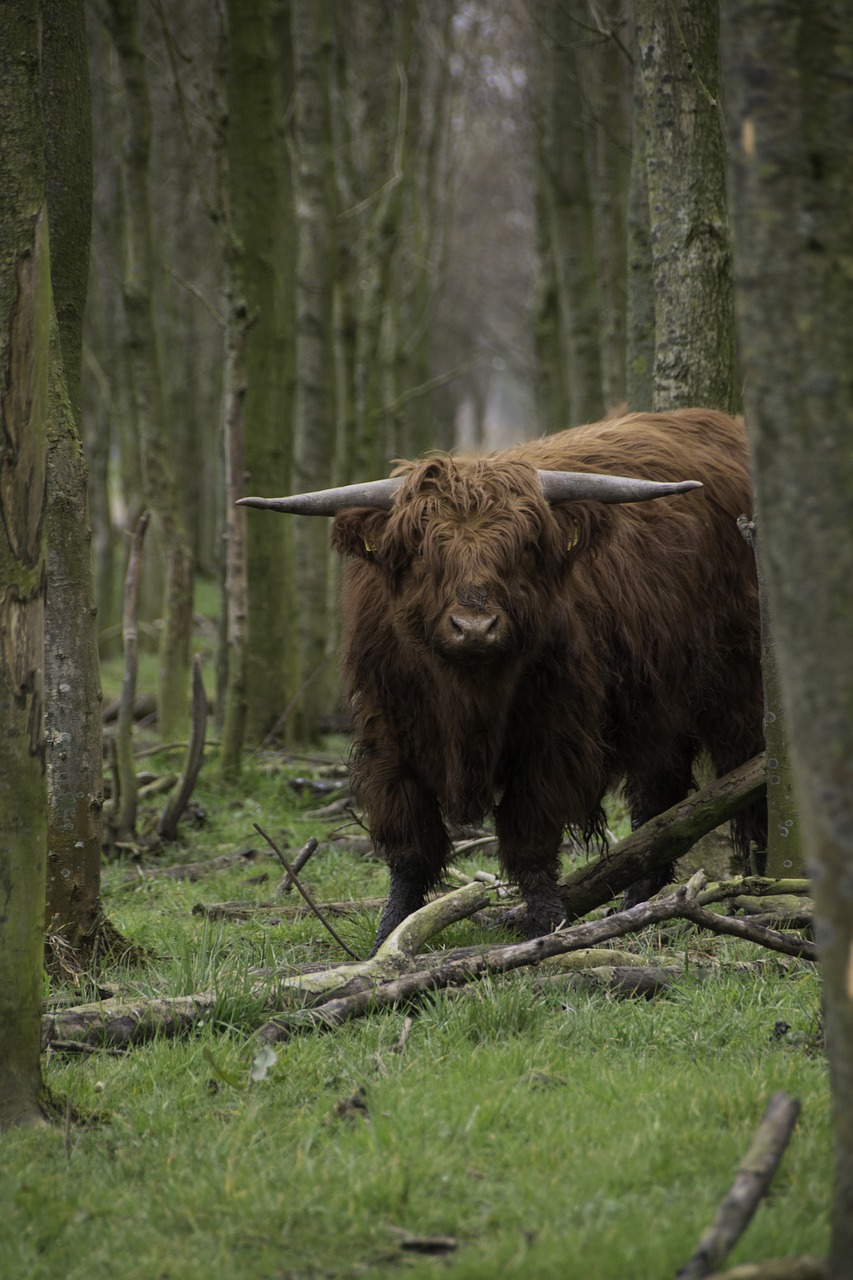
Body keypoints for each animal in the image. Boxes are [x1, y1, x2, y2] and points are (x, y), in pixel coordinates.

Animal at [239, 409, 763, 952]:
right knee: (662, 805)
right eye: (422, 551)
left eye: (523, 548)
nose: (475, 627)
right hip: (659, 704)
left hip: (742, 690)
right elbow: (410, 844)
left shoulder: (553, 734)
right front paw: (392, 931)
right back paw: (638, 901)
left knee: (751, 785)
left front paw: (547, 926)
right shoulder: (389, 735)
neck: (467, 696)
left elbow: (530, 834)